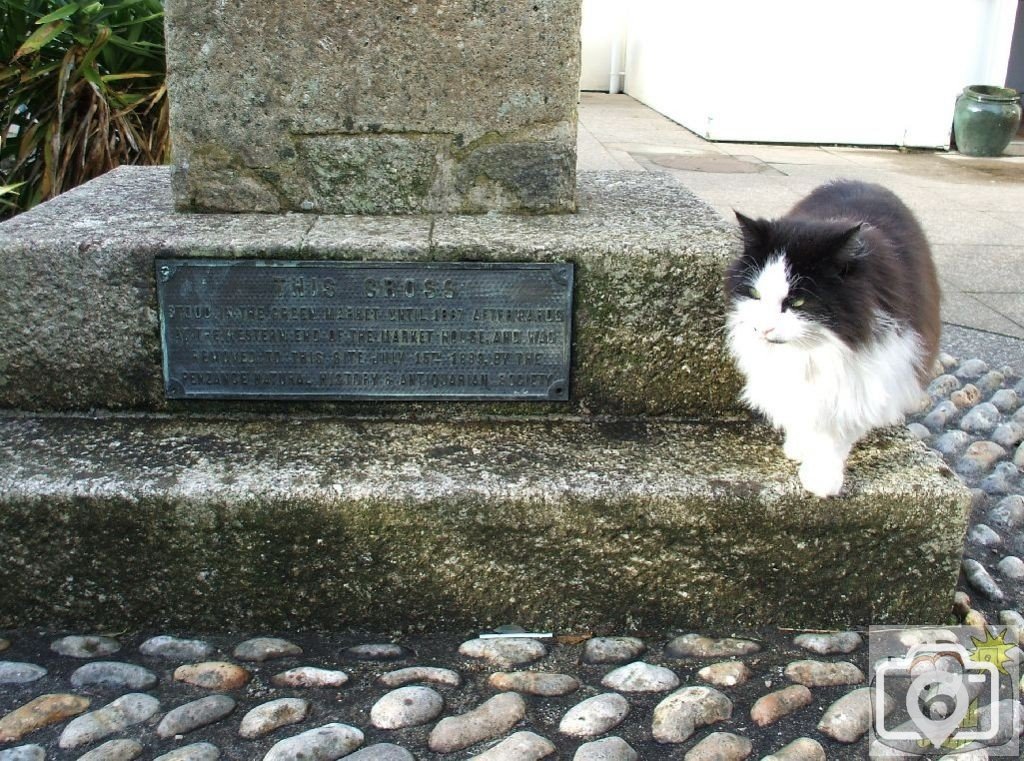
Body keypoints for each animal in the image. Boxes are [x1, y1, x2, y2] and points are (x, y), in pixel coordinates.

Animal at [724, 180, 937, 499]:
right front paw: (799, 445)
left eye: (797, 301)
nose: (764, 329)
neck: (814, 350)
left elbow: (836, 433)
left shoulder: (860, 380)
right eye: (756, 294)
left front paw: (821, 479)